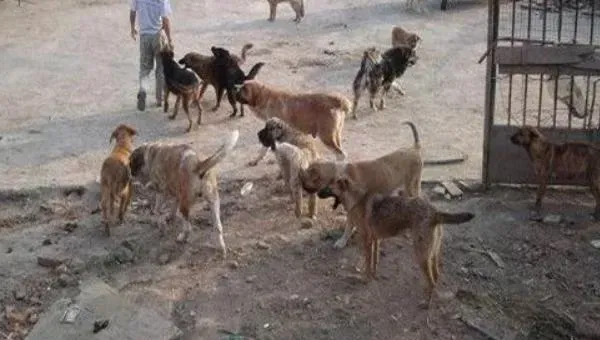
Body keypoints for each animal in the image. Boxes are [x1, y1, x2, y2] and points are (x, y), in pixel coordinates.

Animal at [326, 178, 476, 308]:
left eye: (328, 188)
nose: (319, 193)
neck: (356, 197)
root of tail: (435, 212)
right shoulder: (375, 240)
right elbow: (374, 261)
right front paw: (374, 275)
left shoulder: (367, 241)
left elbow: (368, 264)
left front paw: (366, 279)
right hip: (432, 253)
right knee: (436, 275)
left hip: (421, 255)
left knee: (431, 281)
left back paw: (426, 303)